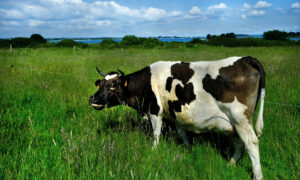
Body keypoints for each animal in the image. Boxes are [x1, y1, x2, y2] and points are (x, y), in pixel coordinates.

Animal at [88, 56, 264, 179]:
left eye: (113, 85)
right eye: (100, 84)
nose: (93, 99)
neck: (145, 83)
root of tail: (246, 59)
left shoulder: (155, 111)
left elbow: (156, 134)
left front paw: (153, 150)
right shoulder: (175, 114)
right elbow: (182, 133)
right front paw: (189, 150)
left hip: (239, 117)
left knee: (251, 142)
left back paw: (257, 175)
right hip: (239, 121)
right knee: (241, 142)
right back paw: (231, 163)